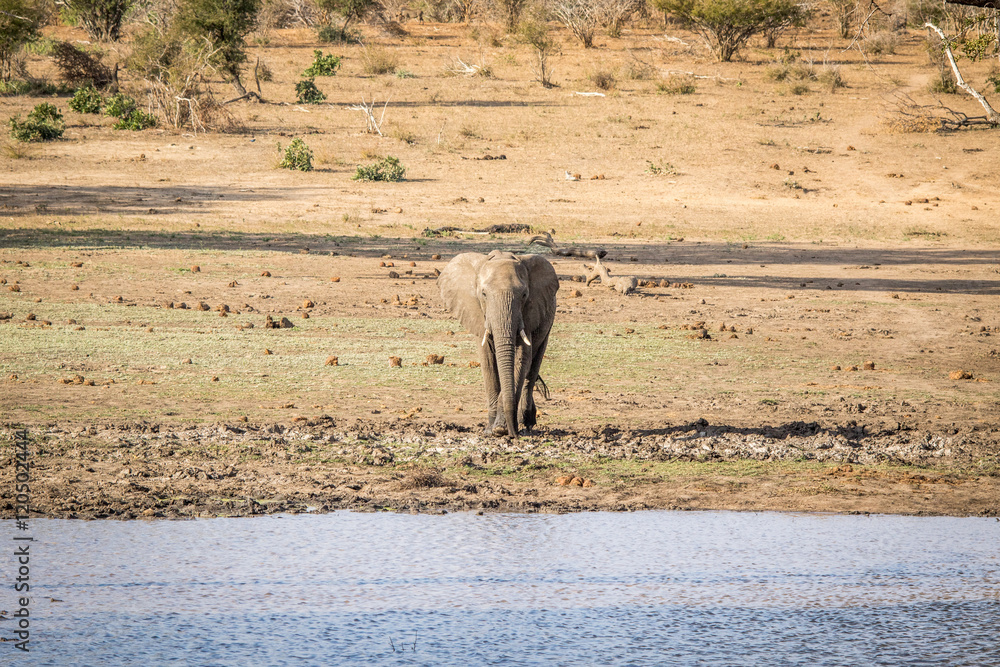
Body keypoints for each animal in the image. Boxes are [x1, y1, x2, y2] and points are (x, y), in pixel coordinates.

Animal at [438, 250, 558, 438]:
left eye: (524, 295)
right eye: (484, 294)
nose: (513, 435)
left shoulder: (529, 312)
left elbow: (522, 359)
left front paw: (501, 428)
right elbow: (487, 361)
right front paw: (493, 430)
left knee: (533, 369)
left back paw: (526, 423)